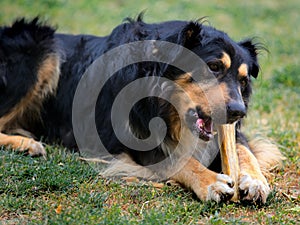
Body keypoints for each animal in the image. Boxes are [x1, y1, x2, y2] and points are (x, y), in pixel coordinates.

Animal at [0, 14, 284, 203]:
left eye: (243, 80)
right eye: (213, 67)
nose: (238, 112)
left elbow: (244, 149)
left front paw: (255, 180)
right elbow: (177, 160)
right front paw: (210, 182)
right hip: (40, 49)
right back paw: (25, 144)